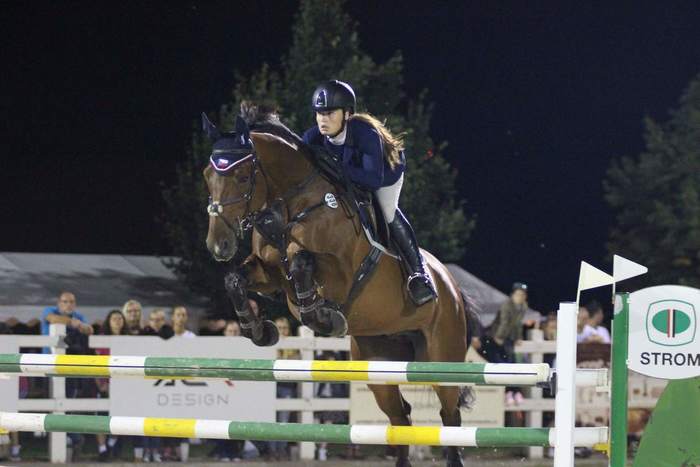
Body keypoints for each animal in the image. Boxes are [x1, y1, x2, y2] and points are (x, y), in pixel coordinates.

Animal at [202, 105, 477, 467]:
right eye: (207, 175)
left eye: (243, 177)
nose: (218, 245)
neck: (292, 204)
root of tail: (452, 287)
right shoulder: (270, 274)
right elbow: (236, 279)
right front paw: (258, 329)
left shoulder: (342, 273)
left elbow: (302, 261)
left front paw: (323, 317)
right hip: (379, 364)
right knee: (400, 417)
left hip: (441, 357)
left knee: (450, 416)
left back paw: (421, 286)